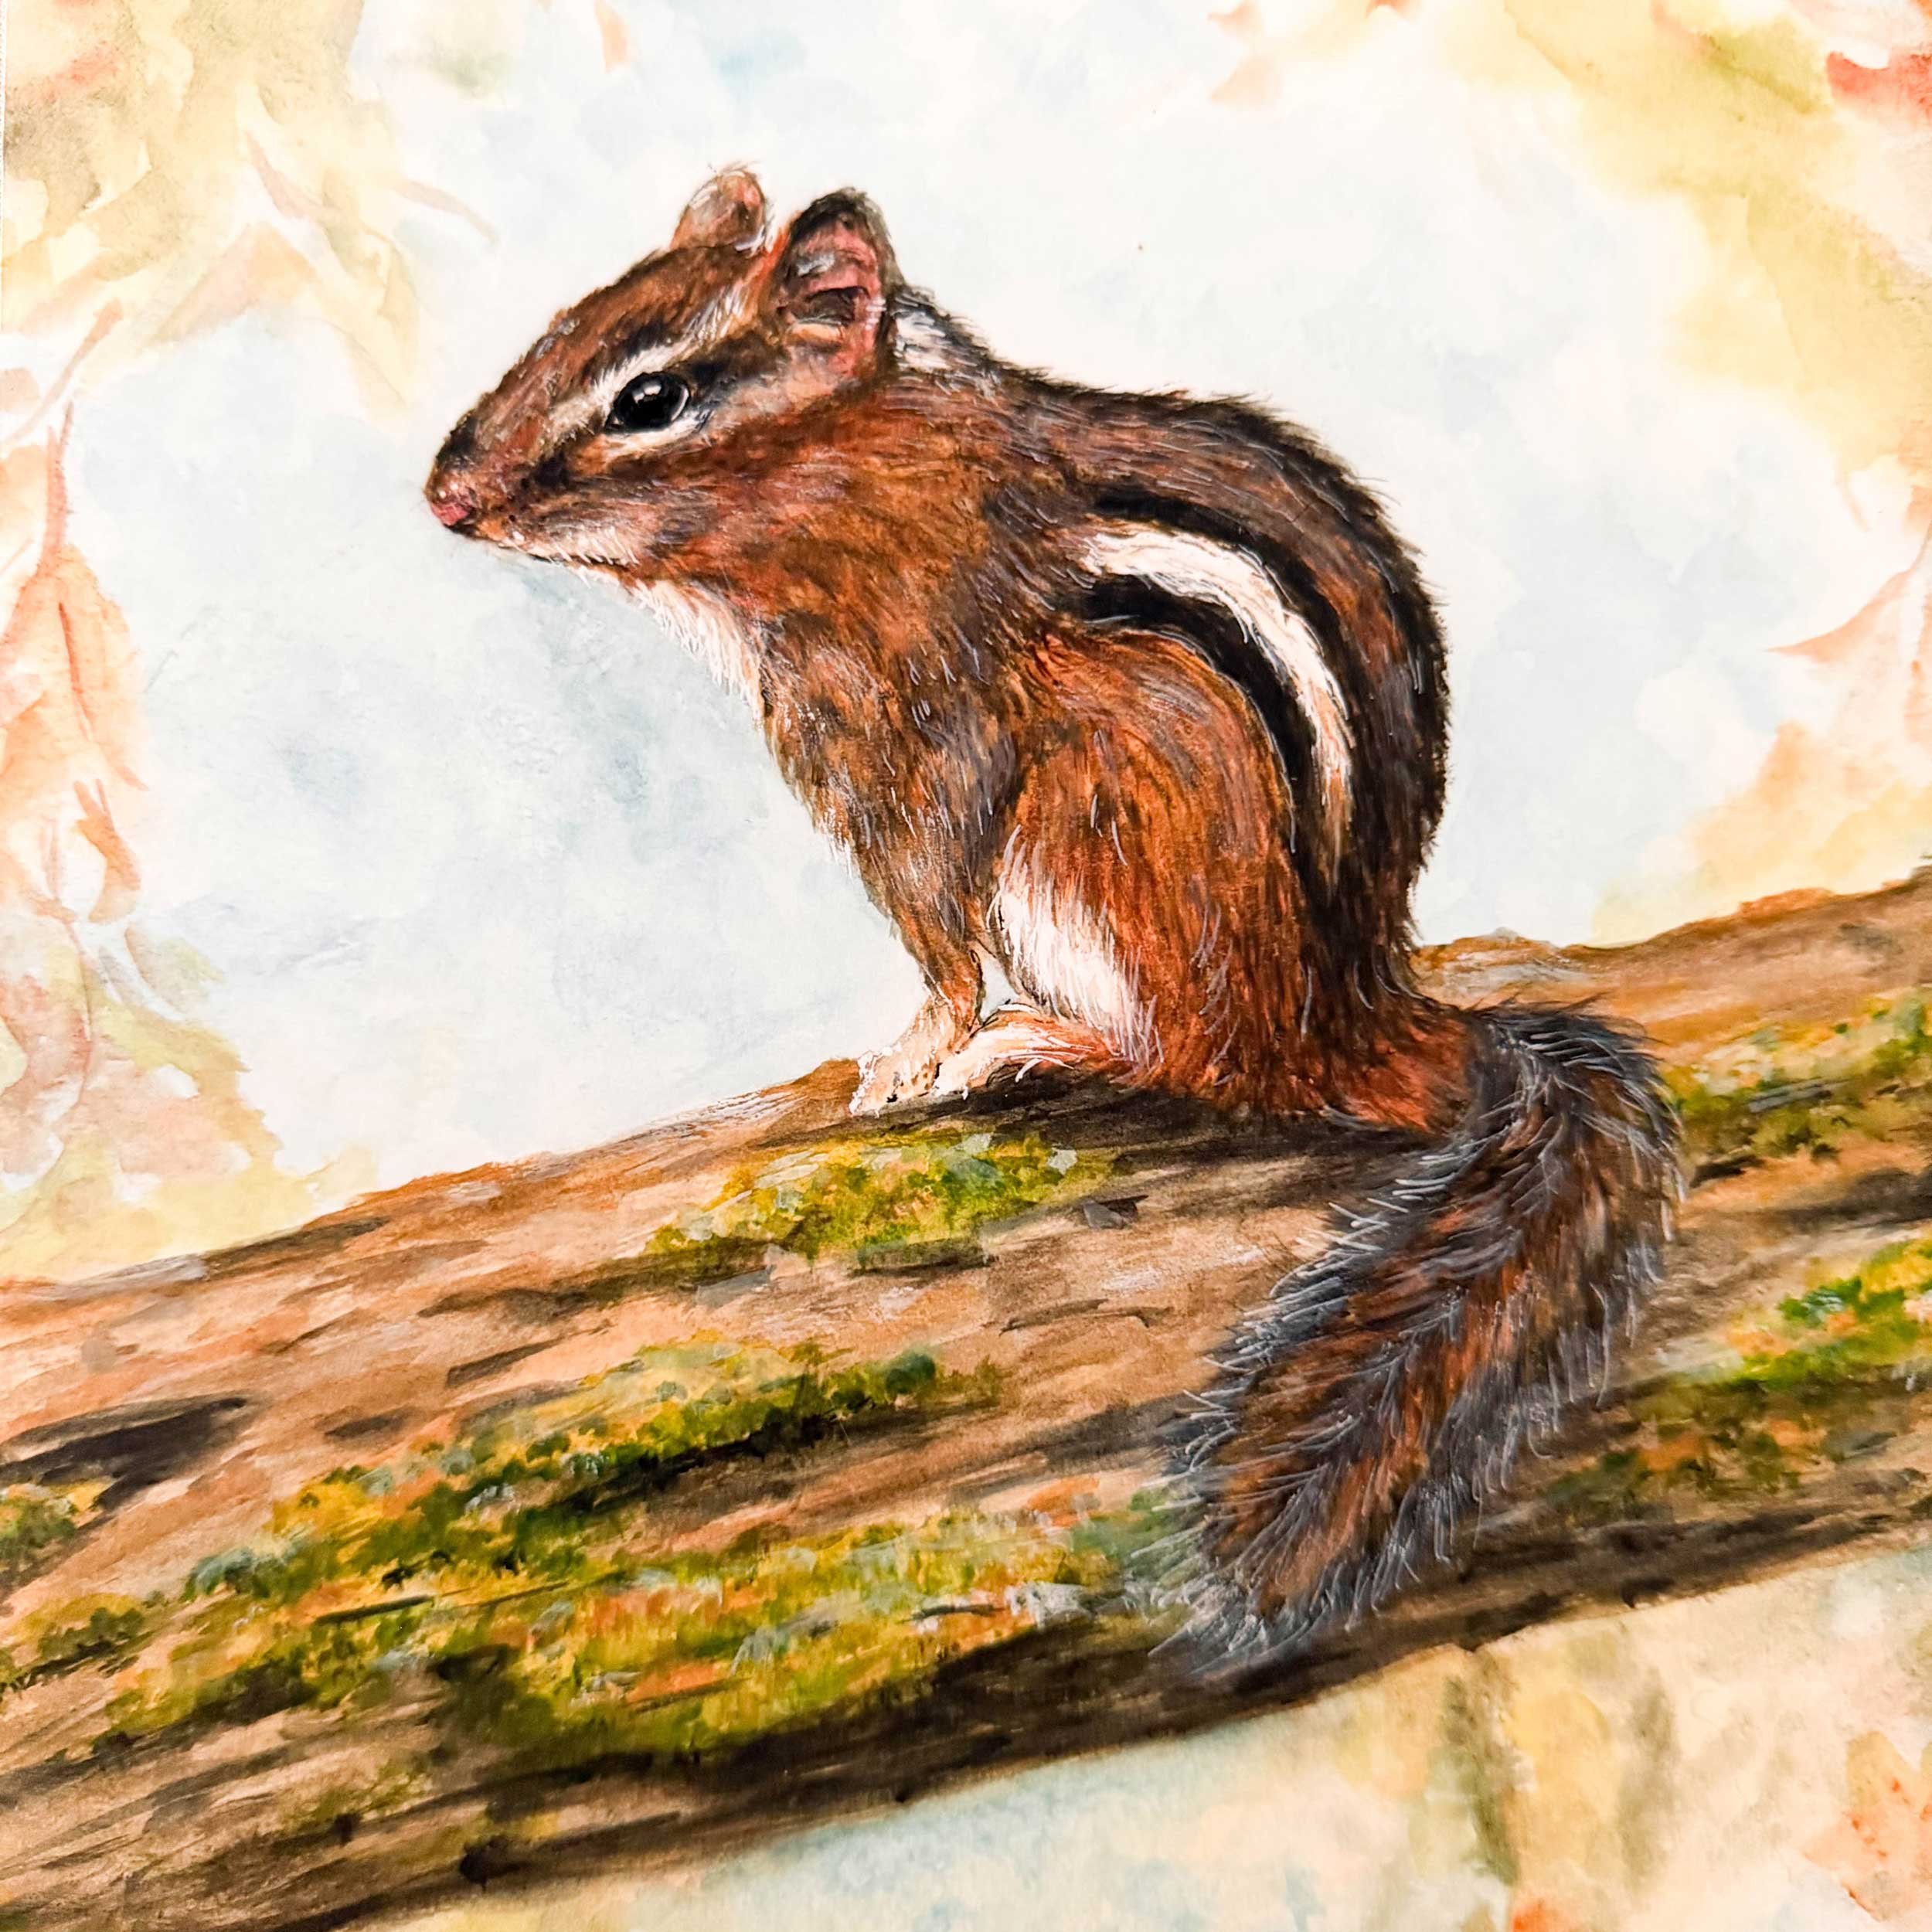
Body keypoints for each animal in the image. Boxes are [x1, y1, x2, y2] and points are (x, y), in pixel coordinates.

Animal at [426, 169, 1681, 1666]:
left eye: (650, 397)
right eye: (565, 326)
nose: (445, 496)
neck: (869, 469)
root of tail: (1348, 1011)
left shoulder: (911, 738)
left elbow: (934, 922)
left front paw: (915, 1055)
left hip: (1102, 836)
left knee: (1201, 1063)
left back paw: (1038, 1048)